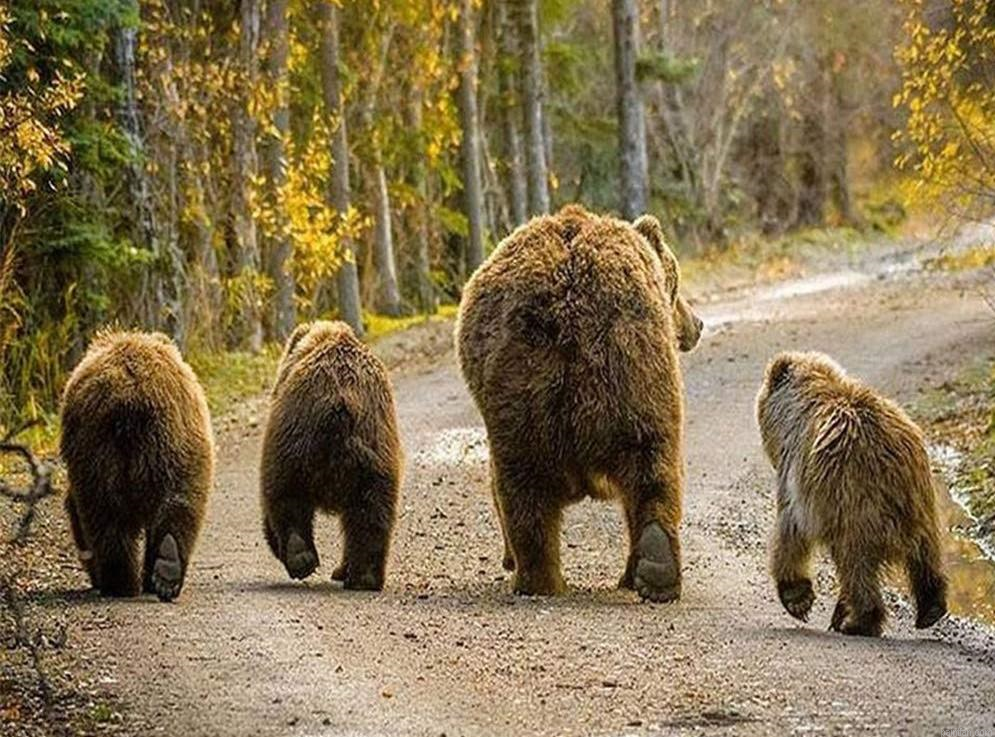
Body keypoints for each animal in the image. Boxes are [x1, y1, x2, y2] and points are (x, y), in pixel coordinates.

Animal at [60, 329, 215, 602]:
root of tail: (134, 398)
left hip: (103, 447)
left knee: (105, 513)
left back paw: (119, 582)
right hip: (176, 441)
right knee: (179, 501)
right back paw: (164, 570)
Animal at [260, 320, 402, 591]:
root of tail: (341, 404)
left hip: (294, 438)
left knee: (286, 495)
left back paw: (299, 556)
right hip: (377, 446)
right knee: (372, 511)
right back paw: (364, 577)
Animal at [455, 204, 703, 601]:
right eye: (677, 288)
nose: (698, 323)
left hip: (534, 387)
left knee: (526, 487)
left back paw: (538, 579)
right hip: (634, 369)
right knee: (653, 465)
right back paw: (652, 568)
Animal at [756, 351, 948, 636]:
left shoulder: (797, 473)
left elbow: (790, 529)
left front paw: (797, 597)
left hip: (856, 502)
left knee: (856, 565)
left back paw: (860, 621)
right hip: (919, 502)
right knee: (926, 554)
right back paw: (931, 608)